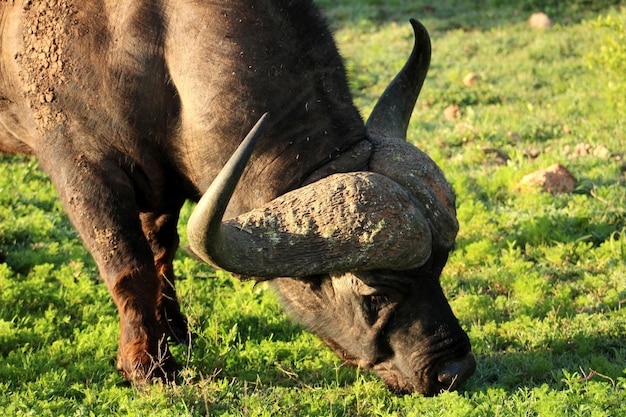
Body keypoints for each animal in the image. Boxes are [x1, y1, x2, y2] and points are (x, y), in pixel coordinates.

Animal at [1, 0, 472, 394]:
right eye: (373, 295)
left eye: (439, 267)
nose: (454, 371)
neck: (152, 40)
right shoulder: (83, 169)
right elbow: (130, 269)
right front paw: (148, 366)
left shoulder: (166, 181)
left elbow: (161, 250)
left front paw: (175, 329)